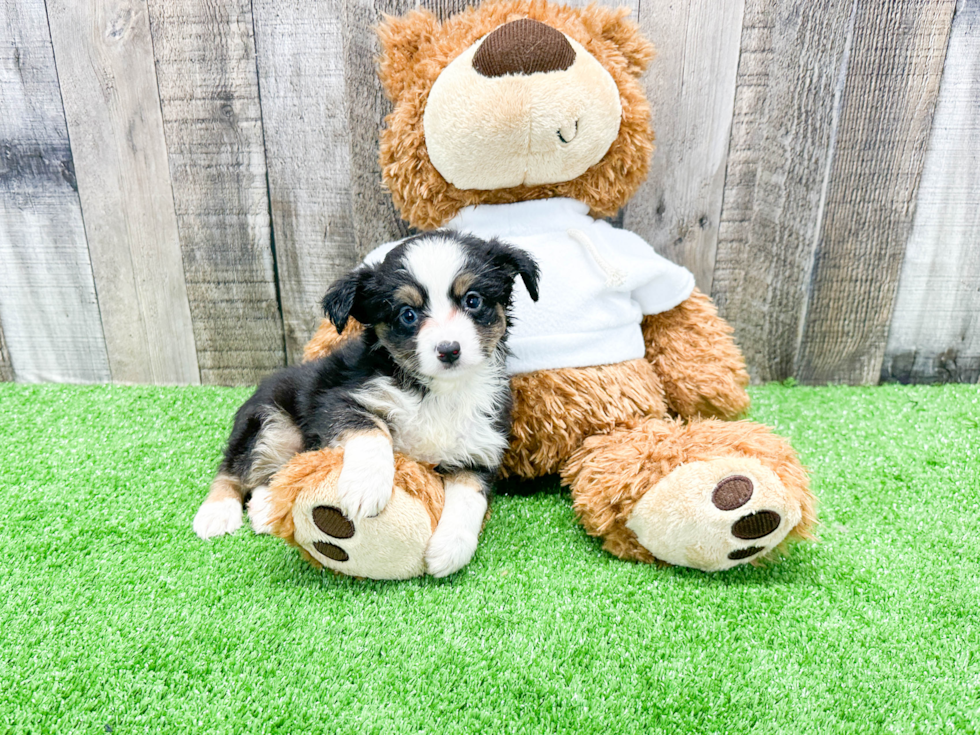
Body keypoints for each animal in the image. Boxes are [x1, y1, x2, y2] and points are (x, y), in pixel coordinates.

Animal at [191, 233, 540, 576]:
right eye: (408, 314)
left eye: (473, 300)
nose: (449, 350)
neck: (436, 392)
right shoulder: (338, 400)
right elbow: (371, 430)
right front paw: (365, 486)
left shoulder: (480, 448)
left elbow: (470, 497)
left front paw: (451, 549)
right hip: (272, 425)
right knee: (233, 471)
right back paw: (216, 514)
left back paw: (264, 508)